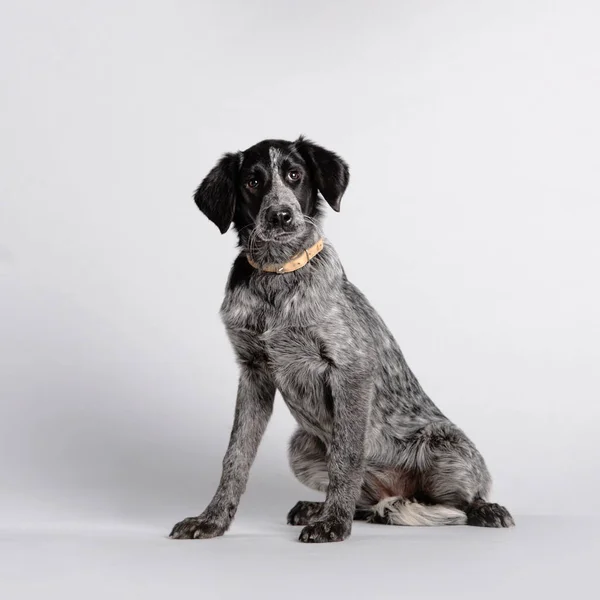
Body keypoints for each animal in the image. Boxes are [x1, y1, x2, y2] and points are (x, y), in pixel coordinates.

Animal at [170, 136, 516, 544]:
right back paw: (320, 507)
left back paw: (486, 510)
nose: (281, 216)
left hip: (447, 445)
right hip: (301, 446)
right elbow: (236, 457)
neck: (277, 274)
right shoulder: (254, 373)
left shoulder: (350, 369)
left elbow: (347, 455)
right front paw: (212, 520)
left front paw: (335, 523)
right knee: (367, 503)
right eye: (253, 182)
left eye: (295, 175)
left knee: (462, 500)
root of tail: (396, 494)